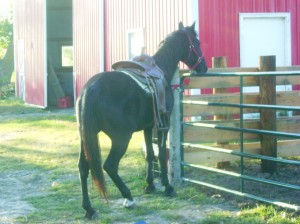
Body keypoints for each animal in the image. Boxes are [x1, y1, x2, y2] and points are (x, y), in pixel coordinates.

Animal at [75, 21, 206, 218]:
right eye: (196, 43)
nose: (204, 67)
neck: (162, 69)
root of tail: (89, 90)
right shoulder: (163, 125)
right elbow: (161, 154)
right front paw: (167, 187)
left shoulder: (148, 126)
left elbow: (150, 154)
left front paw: (150, 185)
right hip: (121, 138)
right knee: (110, 166)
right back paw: (128, 197)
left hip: (86, 137)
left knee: (84, 167)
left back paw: (89, 209)